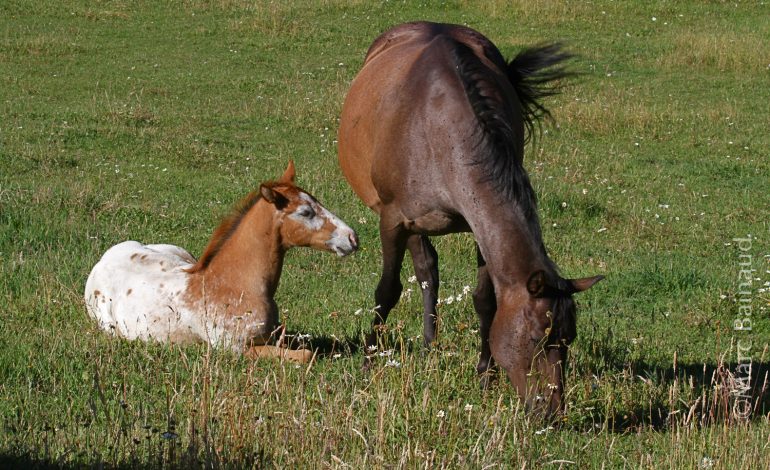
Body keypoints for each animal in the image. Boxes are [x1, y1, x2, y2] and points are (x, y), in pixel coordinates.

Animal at [84, 162, 356, 364]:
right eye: (306, 212)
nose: (352, 237)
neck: (233, 285)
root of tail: (102, 260)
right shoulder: (236, 349)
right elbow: (306, 355)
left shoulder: (275, 336)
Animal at [340, 21, 604, 414]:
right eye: (535, 338)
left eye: (568, 338)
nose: (550, 410)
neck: (438, 132)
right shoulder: (393, 219)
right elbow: (387, 291)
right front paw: (368, 361)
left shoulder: (479, 225)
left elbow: (486, 300)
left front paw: (485, 374)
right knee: (424, 269)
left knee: (428, 270)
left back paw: (430, 345)